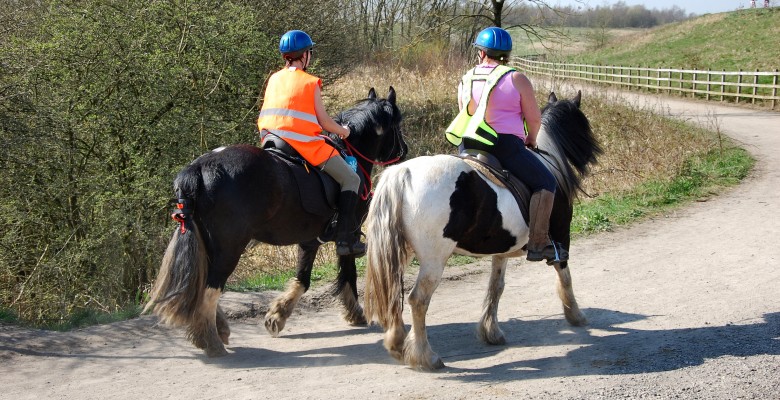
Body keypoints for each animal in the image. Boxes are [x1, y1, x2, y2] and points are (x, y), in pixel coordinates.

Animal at [144, 86, 408, 356]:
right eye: (396, 125)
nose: (404, 152)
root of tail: (197, 168)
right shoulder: (349, 234)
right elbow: (347, 273)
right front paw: (356, 312)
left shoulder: (311, 239)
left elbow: (303, 279)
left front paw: (277, 315)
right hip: (229, 247)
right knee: (210, 288)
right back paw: (210, 340)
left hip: (210, 245)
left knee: (204, 285)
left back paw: (218, 330)